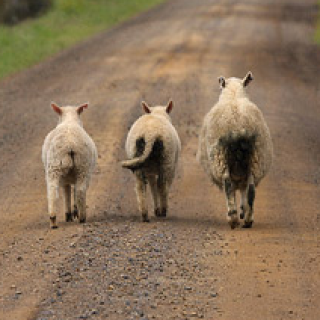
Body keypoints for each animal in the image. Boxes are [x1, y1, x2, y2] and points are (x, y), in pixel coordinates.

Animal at [198, 71, 272, 229]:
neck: (233, 96)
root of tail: (238, 125)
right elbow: (244, 191)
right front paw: (243, 211)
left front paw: (239, 212)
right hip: (255, 158)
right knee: (251, 188)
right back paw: (248, 220)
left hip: (221, 158)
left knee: (228, 185)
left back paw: (232, 218)